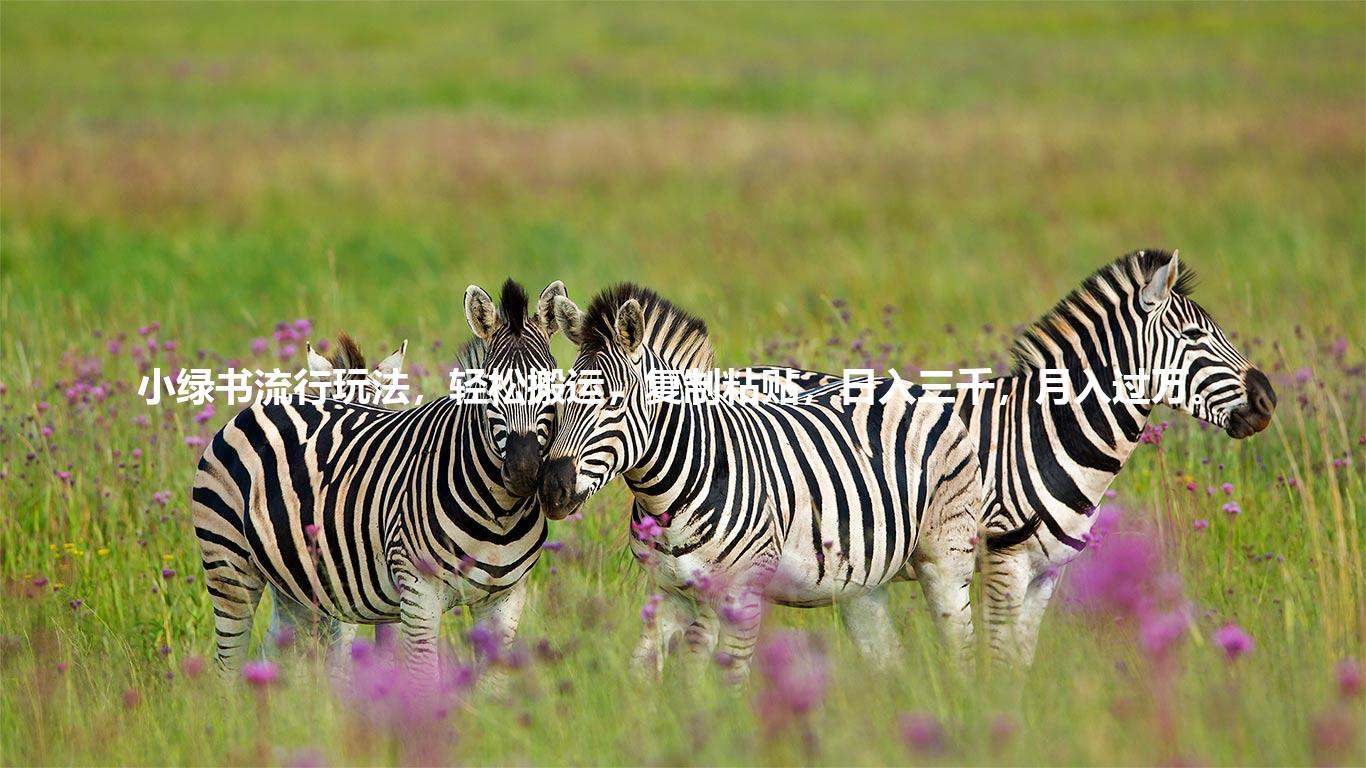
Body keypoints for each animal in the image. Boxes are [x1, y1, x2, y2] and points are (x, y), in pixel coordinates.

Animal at [192, 277, 565, 672]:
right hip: (229, 565)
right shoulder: (405, 592)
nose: (524, 470)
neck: (498, 513)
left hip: (290, 584)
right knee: (228, 664)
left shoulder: (495, 598)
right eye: (489, 389)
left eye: (555, 386)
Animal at [538, 284, 988, 677]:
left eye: (613, 403)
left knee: (962, 650)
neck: (668, 494)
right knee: (889, 659)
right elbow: (646, 674)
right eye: (557, 400)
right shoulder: (669, 591)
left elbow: (729, 678)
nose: (552, 489)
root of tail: (909, 386)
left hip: (945, 559)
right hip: (863, 583)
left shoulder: (741, 594)